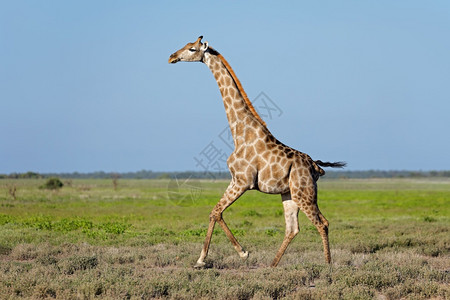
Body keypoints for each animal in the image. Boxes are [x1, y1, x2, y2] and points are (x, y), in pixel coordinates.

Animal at [167, 36, 346, 268]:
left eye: (192, 49)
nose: (172, 57)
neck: (240, 132)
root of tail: (316, 167)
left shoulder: (242, 181)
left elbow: (215, 211)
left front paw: (221, 256)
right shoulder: (236, 180)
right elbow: (215, 212)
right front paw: (216, 257)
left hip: (304, 192)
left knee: (322, 223)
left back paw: (328, 265)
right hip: (289, 193)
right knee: (292, 228)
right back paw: (272, 265)